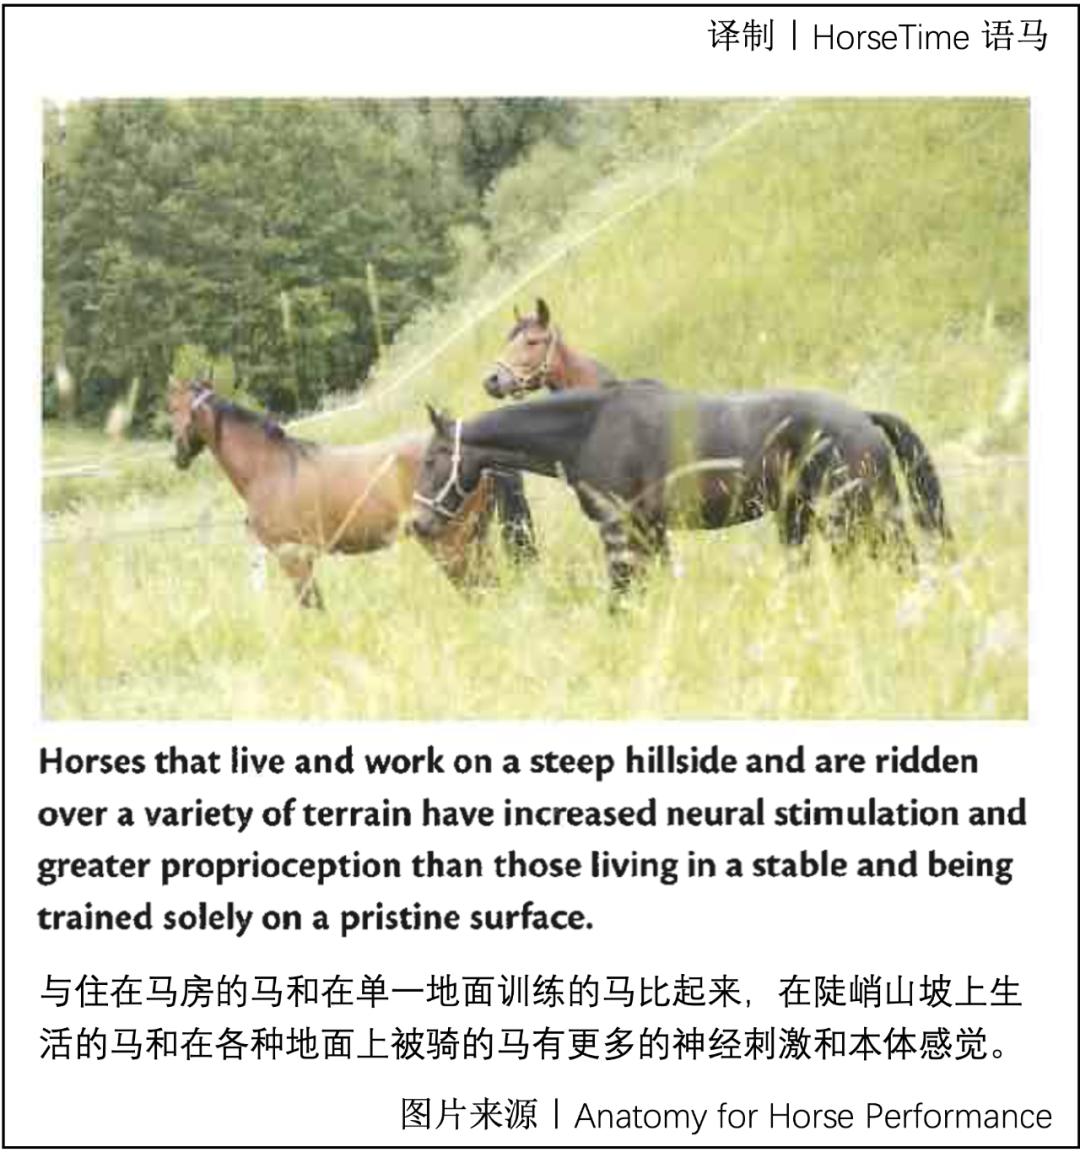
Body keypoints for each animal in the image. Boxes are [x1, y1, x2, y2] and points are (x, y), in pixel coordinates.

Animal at [411, 381, 951, 600]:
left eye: (433, 459)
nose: (418, 523)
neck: (590, 429)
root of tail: (862, 418)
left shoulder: (623, 534)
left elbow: (622, 596)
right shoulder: (651, 533)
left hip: (857, 518)